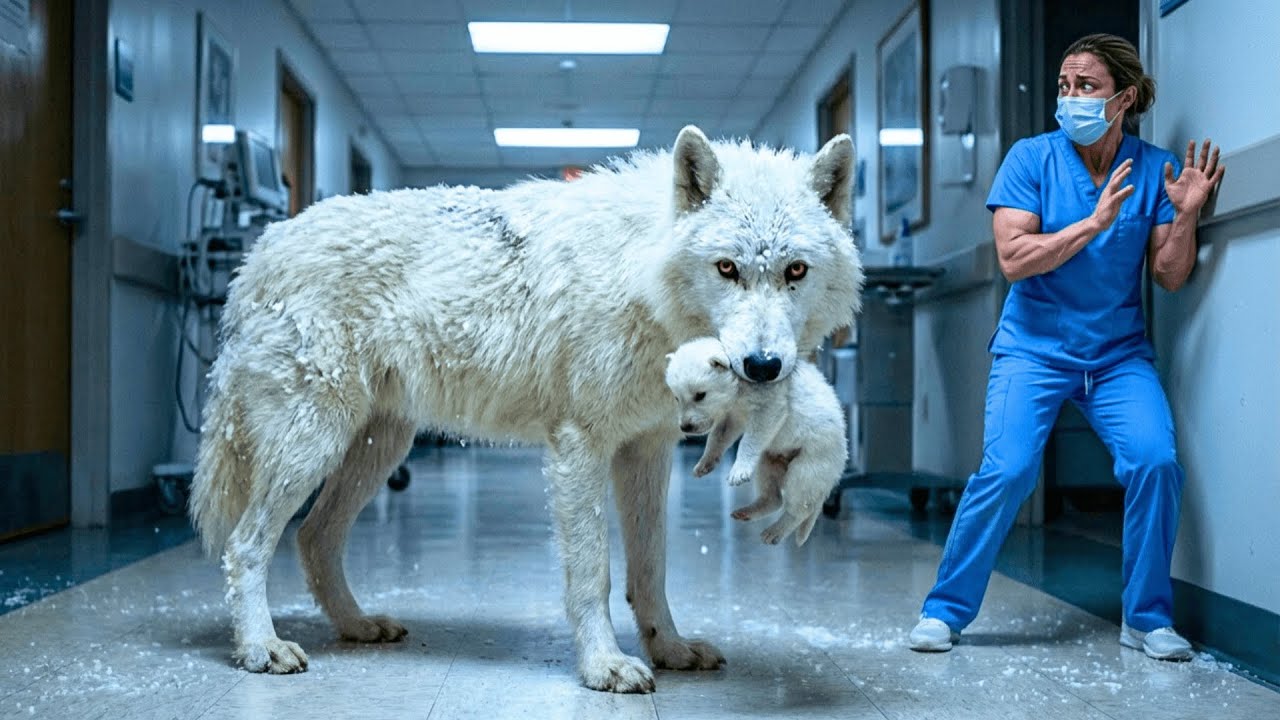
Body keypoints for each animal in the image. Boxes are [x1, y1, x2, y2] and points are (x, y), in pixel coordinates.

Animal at [664, 337, 848, 546]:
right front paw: (705, 463)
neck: (740, 386)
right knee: (774, 496)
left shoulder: (769, 407)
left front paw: (738, 471)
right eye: (677, 397)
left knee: (800, 506)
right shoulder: (732, 415)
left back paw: (775, 531)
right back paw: (748, 512)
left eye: (700, 395)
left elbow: (750, 439)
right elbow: (718, 437)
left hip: (812, 463)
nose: (685, 427)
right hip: (769, 459)